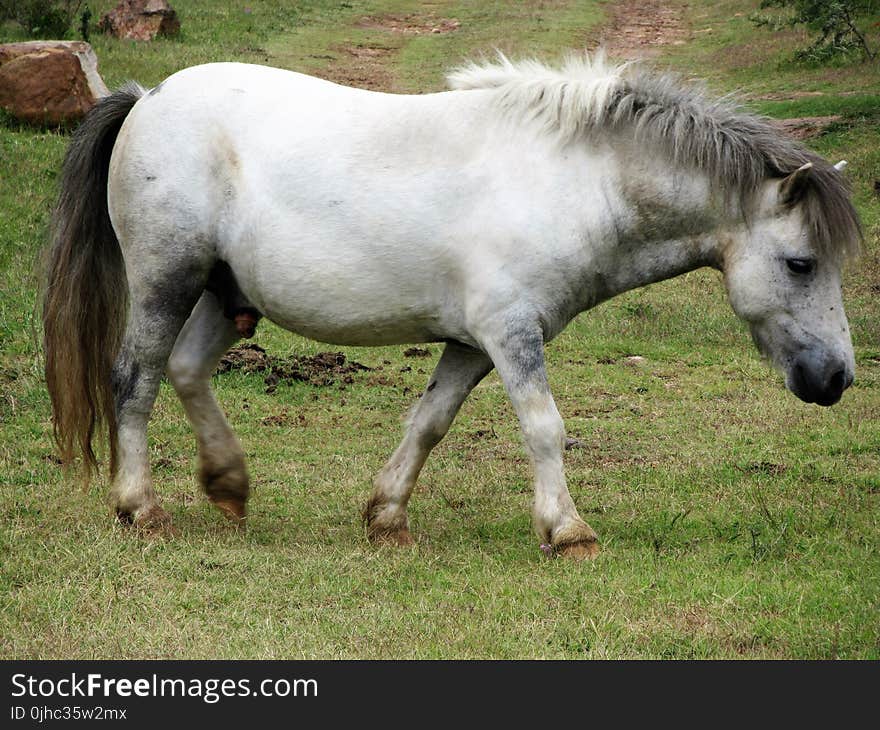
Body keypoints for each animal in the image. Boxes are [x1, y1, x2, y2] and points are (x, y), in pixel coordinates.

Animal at [41, 55, 860, 556]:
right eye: (801, 263)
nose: (837, 379)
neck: (571, 181)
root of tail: (147, 99)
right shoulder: (511, 333)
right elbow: (543, 426)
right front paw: (567, 532)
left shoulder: (473, 342)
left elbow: (429, 422)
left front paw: (387, 517)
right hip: (166, 280)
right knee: (135, 382)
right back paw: (141, 507)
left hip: (226, 293)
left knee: (184, 372)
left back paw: (229, 485)